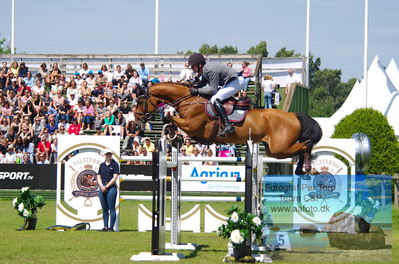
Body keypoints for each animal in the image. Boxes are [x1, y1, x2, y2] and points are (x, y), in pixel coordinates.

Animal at [136, 83, 324, 175]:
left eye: (140, 100)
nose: (137, 121)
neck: (189, 101)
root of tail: (295, 115)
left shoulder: (192, 126)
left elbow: (172, 118)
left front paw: (169, 126)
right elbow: (172, 122)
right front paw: (173, 135)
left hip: (279, 148)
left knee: (306, 145)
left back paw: (306, 167)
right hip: (273, 150)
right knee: (301, 147)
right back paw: (301, 169)